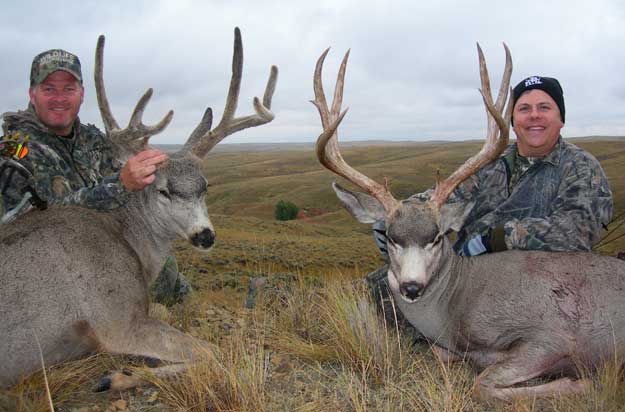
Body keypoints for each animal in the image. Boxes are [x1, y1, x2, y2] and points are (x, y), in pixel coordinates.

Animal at [0, 28, 278, 390]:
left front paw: (123, 374)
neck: (127, 240)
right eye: (163, 191)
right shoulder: (116, 318)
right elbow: (214, 353)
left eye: (205, 186)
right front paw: (117, 376)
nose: (205, 236)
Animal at [312, 46, 624, 400]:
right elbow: (449, 359)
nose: (411, 287)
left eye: (437, 237)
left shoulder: (551, 335)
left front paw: (578, 382)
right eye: (390, 237)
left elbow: (482, 384)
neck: (458, 305)